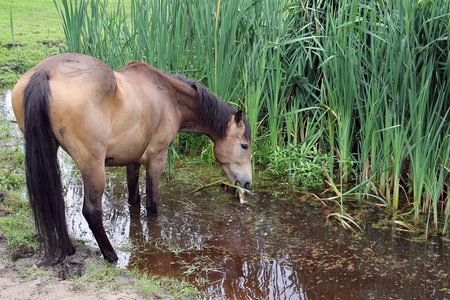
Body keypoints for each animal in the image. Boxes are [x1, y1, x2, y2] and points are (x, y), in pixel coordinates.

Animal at [10, 52, 251, 264]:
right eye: (244, 145)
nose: (247, 183)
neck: (168, 95)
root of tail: (46, 72)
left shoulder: (133, 159)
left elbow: (134, 200)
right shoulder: (157, 157)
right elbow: (151, 204)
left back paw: (68, 248)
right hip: (93, 165)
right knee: (91, 211)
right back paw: (110, 255)